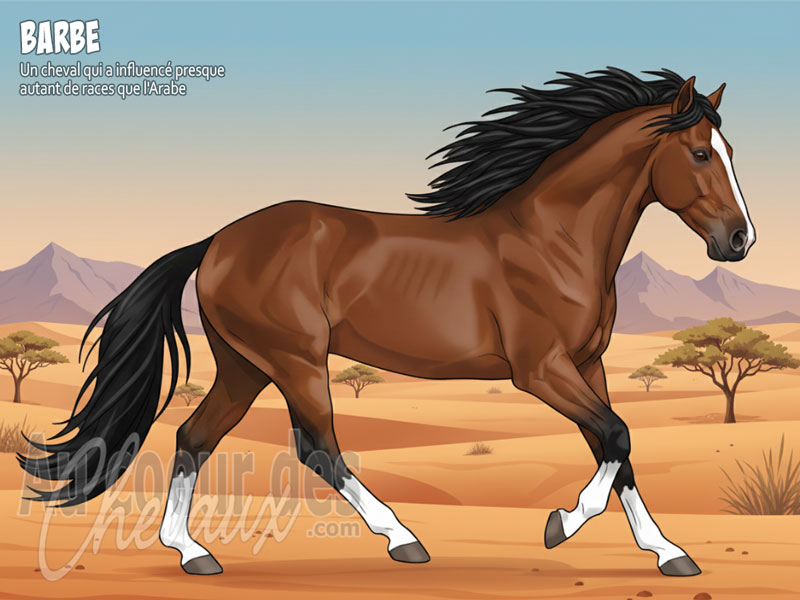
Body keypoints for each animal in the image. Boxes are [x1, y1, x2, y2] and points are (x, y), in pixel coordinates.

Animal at [20, 67, 755, 577]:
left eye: (731, 150)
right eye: (700, 154)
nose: (740, 240)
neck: (553, 239)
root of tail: (217, 242)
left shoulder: (589, 364)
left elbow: (618, 451)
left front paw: (669, 553)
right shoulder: (541, 369)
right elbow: (617, 436)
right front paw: (560, 523)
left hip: (245, 365)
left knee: (194, 437)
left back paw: (192, 552)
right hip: (294, 359)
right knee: (318, 447)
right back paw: (404, 541)